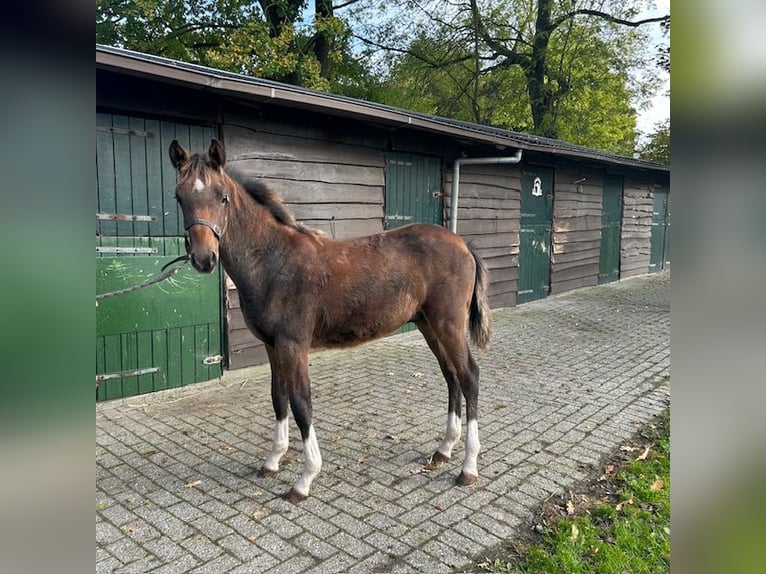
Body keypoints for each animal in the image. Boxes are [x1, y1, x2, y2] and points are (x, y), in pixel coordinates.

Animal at [169, 140, 496, 504]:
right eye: (179, 196)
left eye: (222, 196)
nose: (204, 258)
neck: (272, 261)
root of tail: (463, 244)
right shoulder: (272, 346)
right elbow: (278, 397)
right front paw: (273, 460)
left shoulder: (293, 345)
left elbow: (301, 403)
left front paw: (305, 479)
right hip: (428, 325)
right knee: (451, 376)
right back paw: (443, 449)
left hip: (448, 324)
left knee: (469, 376)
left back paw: (468, 467)